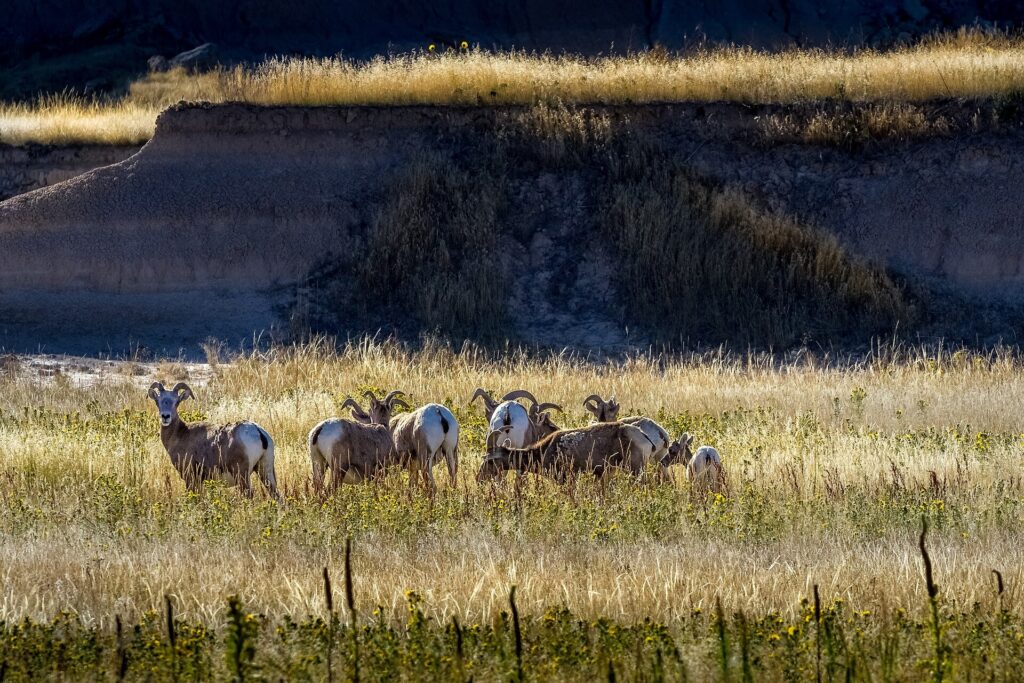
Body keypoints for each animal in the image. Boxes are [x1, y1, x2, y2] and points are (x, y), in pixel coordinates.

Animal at [147, 381, 279, 498]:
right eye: (158, 401)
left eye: (176, 402)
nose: (165, 416)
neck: (181, 434)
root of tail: (258, 431)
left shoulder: (189, 477)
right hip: (266, 472)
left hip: (242, 475)